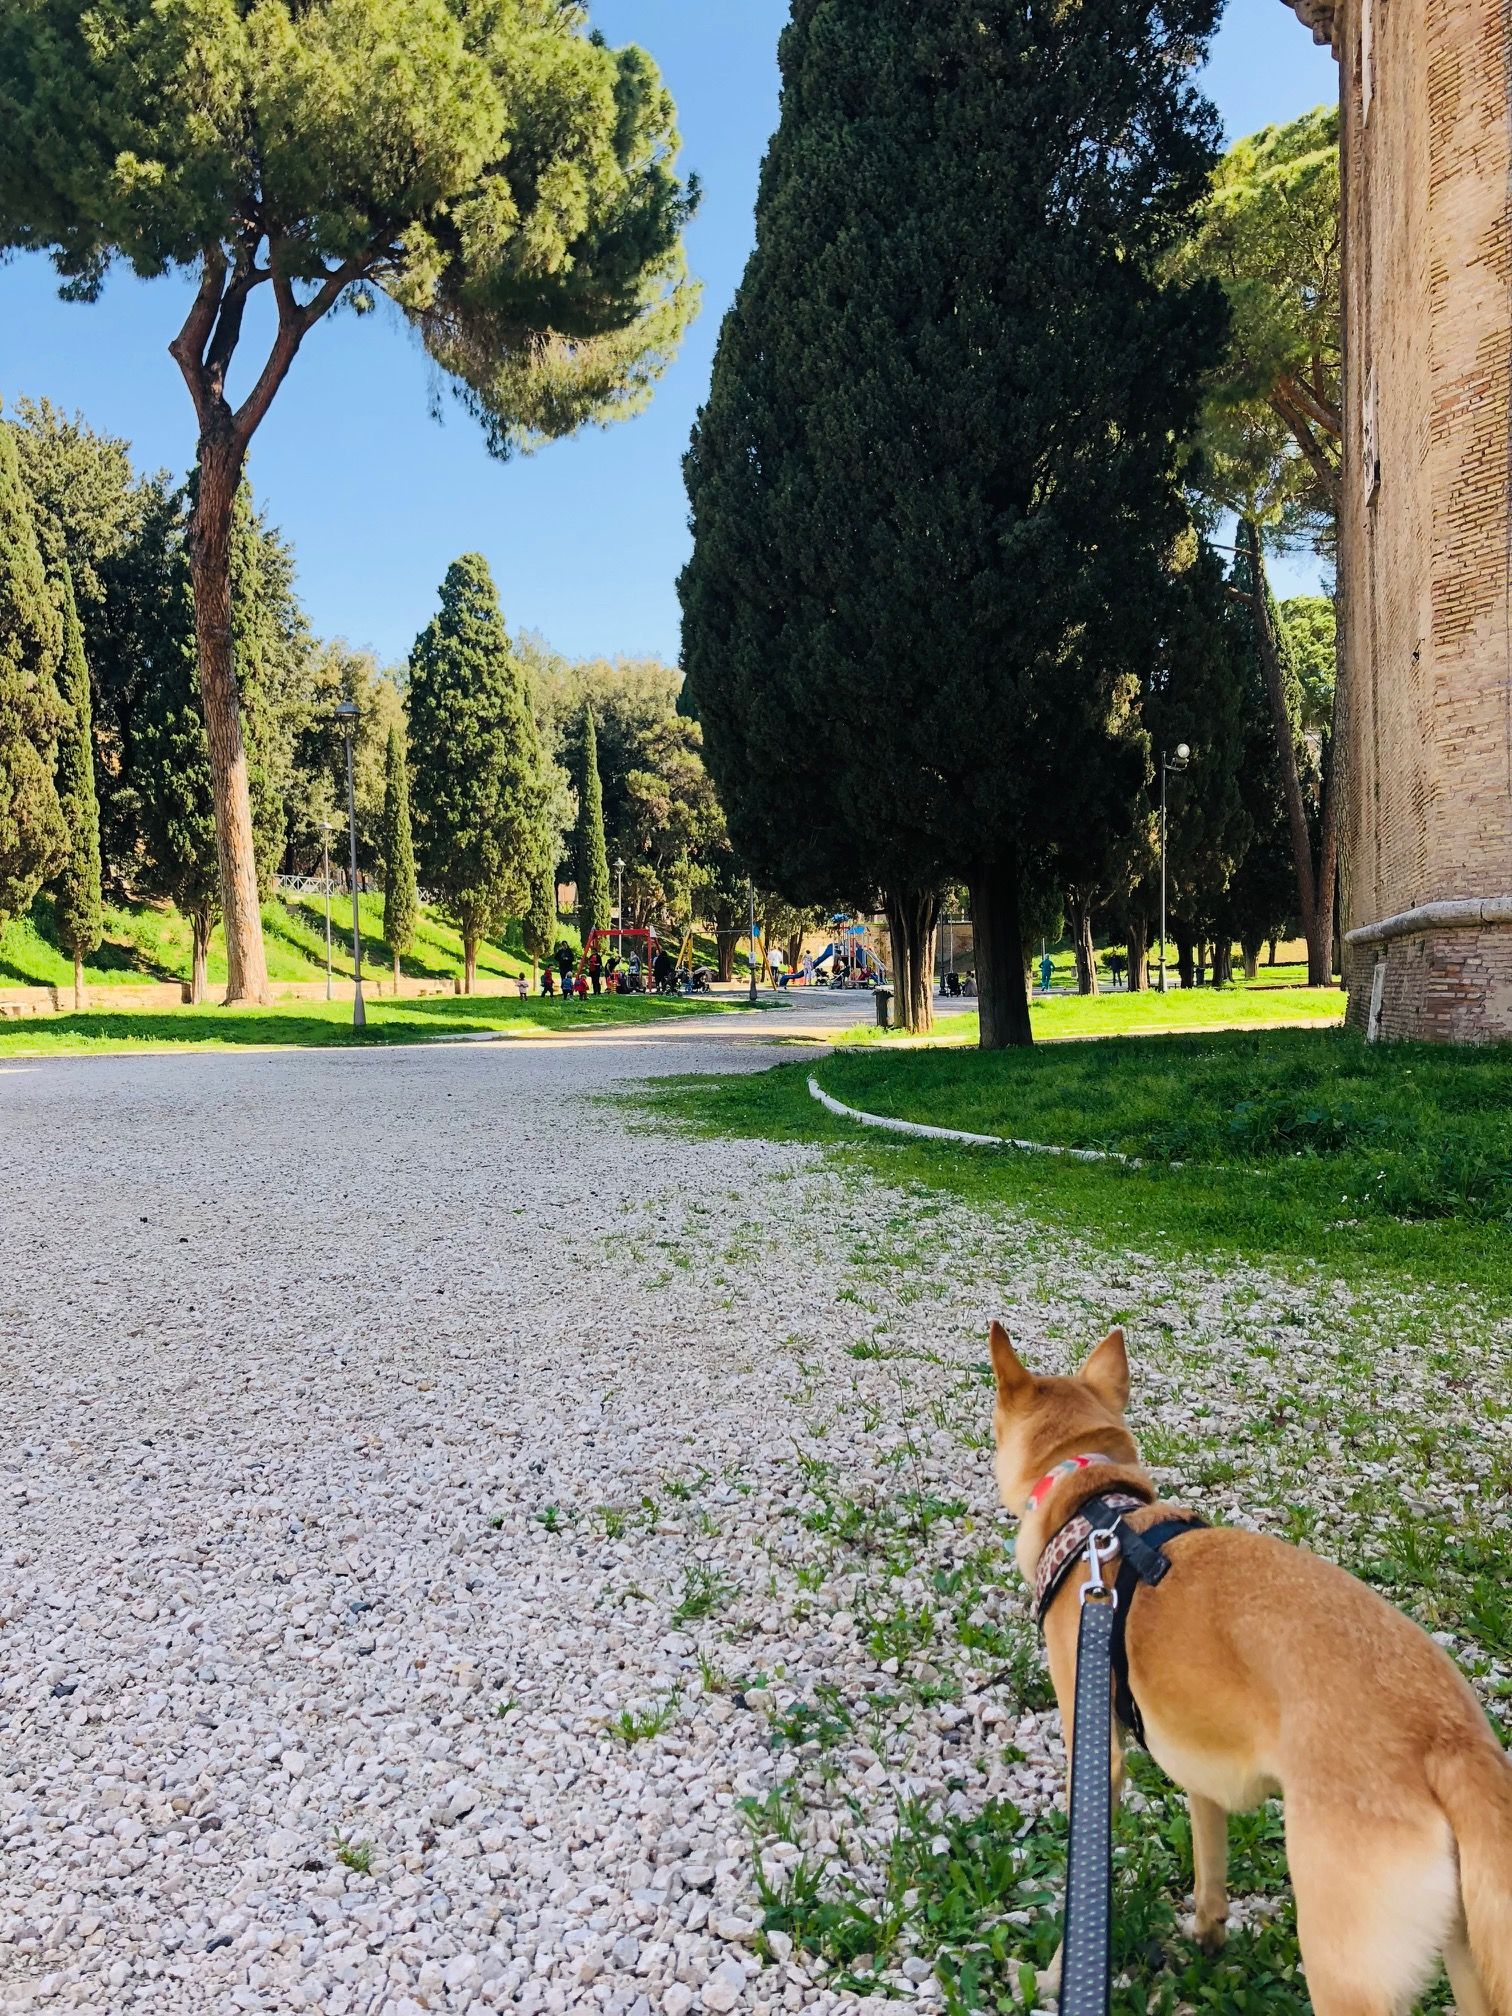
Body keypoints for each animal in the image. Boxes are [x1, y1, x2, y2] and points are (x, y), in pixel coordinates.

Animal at [995, 1322, 1512, 2016]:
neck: (1096, 1513)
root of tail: (1449, 1740)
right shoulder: (1203, 1773)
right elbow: (1210, 1864)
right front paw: (1209, 1936)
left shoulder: (1096, 1747)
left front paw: (1054, 1978)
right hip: (1468, 1955)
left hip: (1343, 1966)